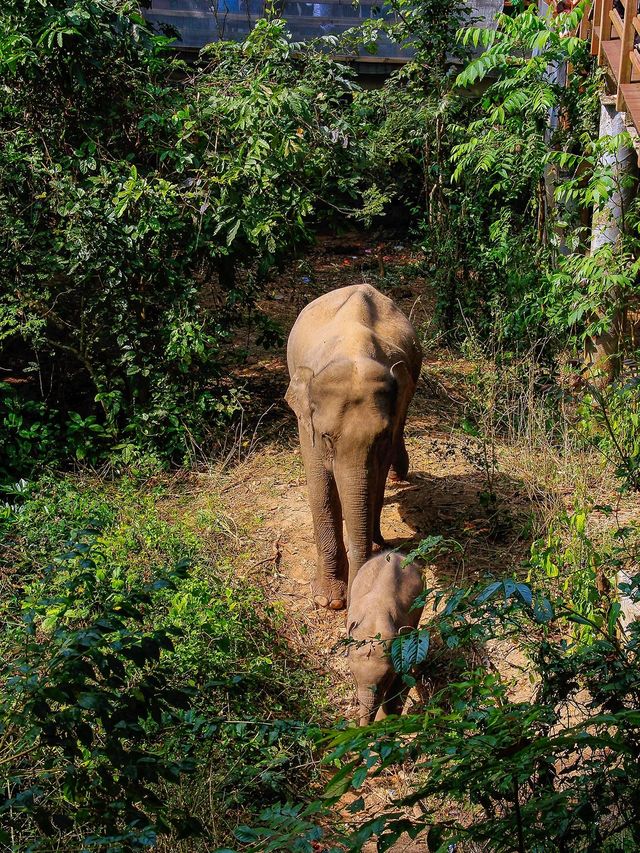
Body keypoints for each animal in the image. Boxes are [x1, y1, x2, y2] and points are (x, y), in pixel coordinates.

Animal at [286, 282, 424, 608]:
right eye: (326, 437)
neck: (352, 351)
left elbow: (375, 480)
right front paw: (328, 599)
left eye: (381, 437)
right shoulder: (306, 423)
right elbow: (320, 488)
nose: (353, 600)